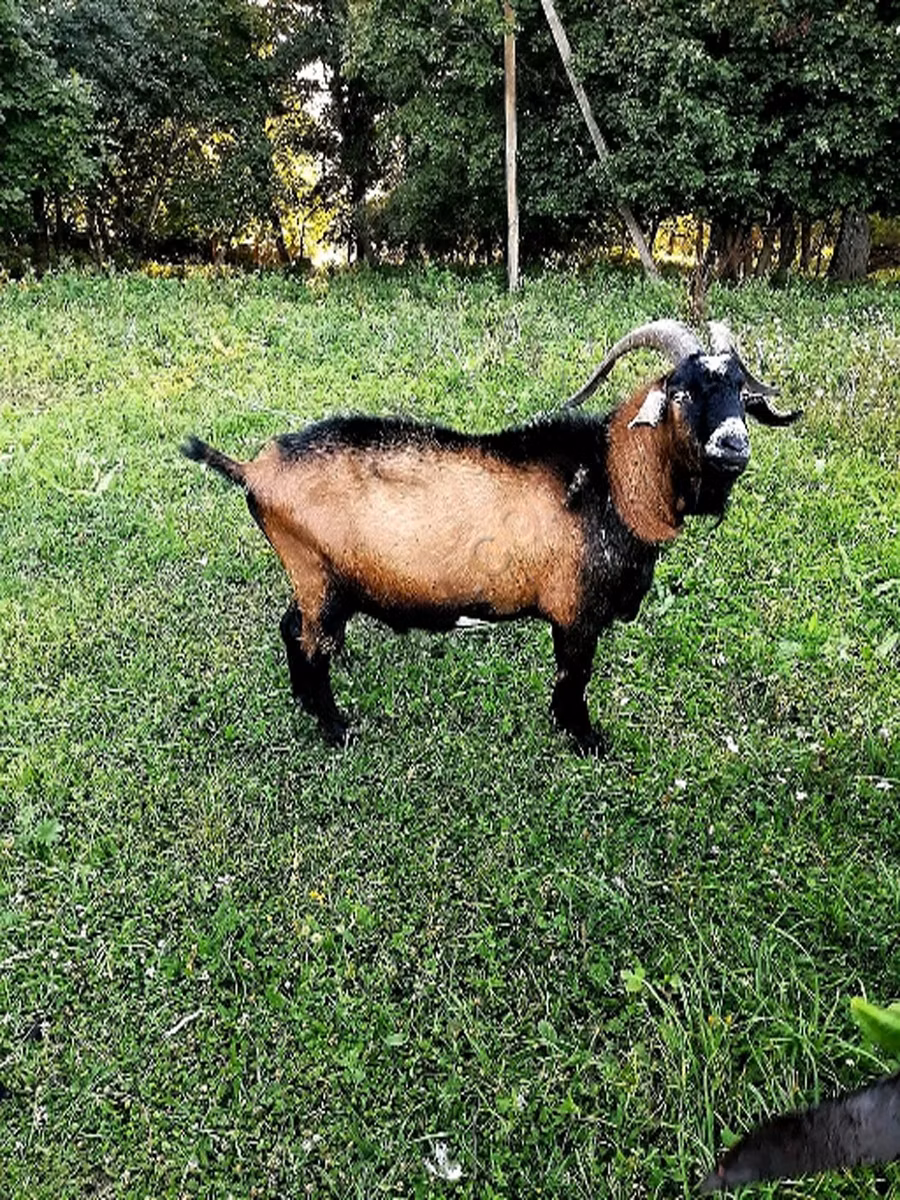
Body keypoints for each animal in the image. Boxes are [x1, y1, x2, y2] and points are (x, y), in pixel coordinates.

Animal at [182, 319, 799, 752]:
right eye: (682, 392)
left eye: (741, 391)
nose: (732, 445)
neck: (612, 477)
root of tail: (256, 470)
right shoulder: (576, 611)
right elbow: (575, 677)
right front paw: (584, 739)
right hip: (319, 578)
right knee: (308, 643)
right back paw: (336, 727)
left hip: (315, 580)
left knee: (293, 630)